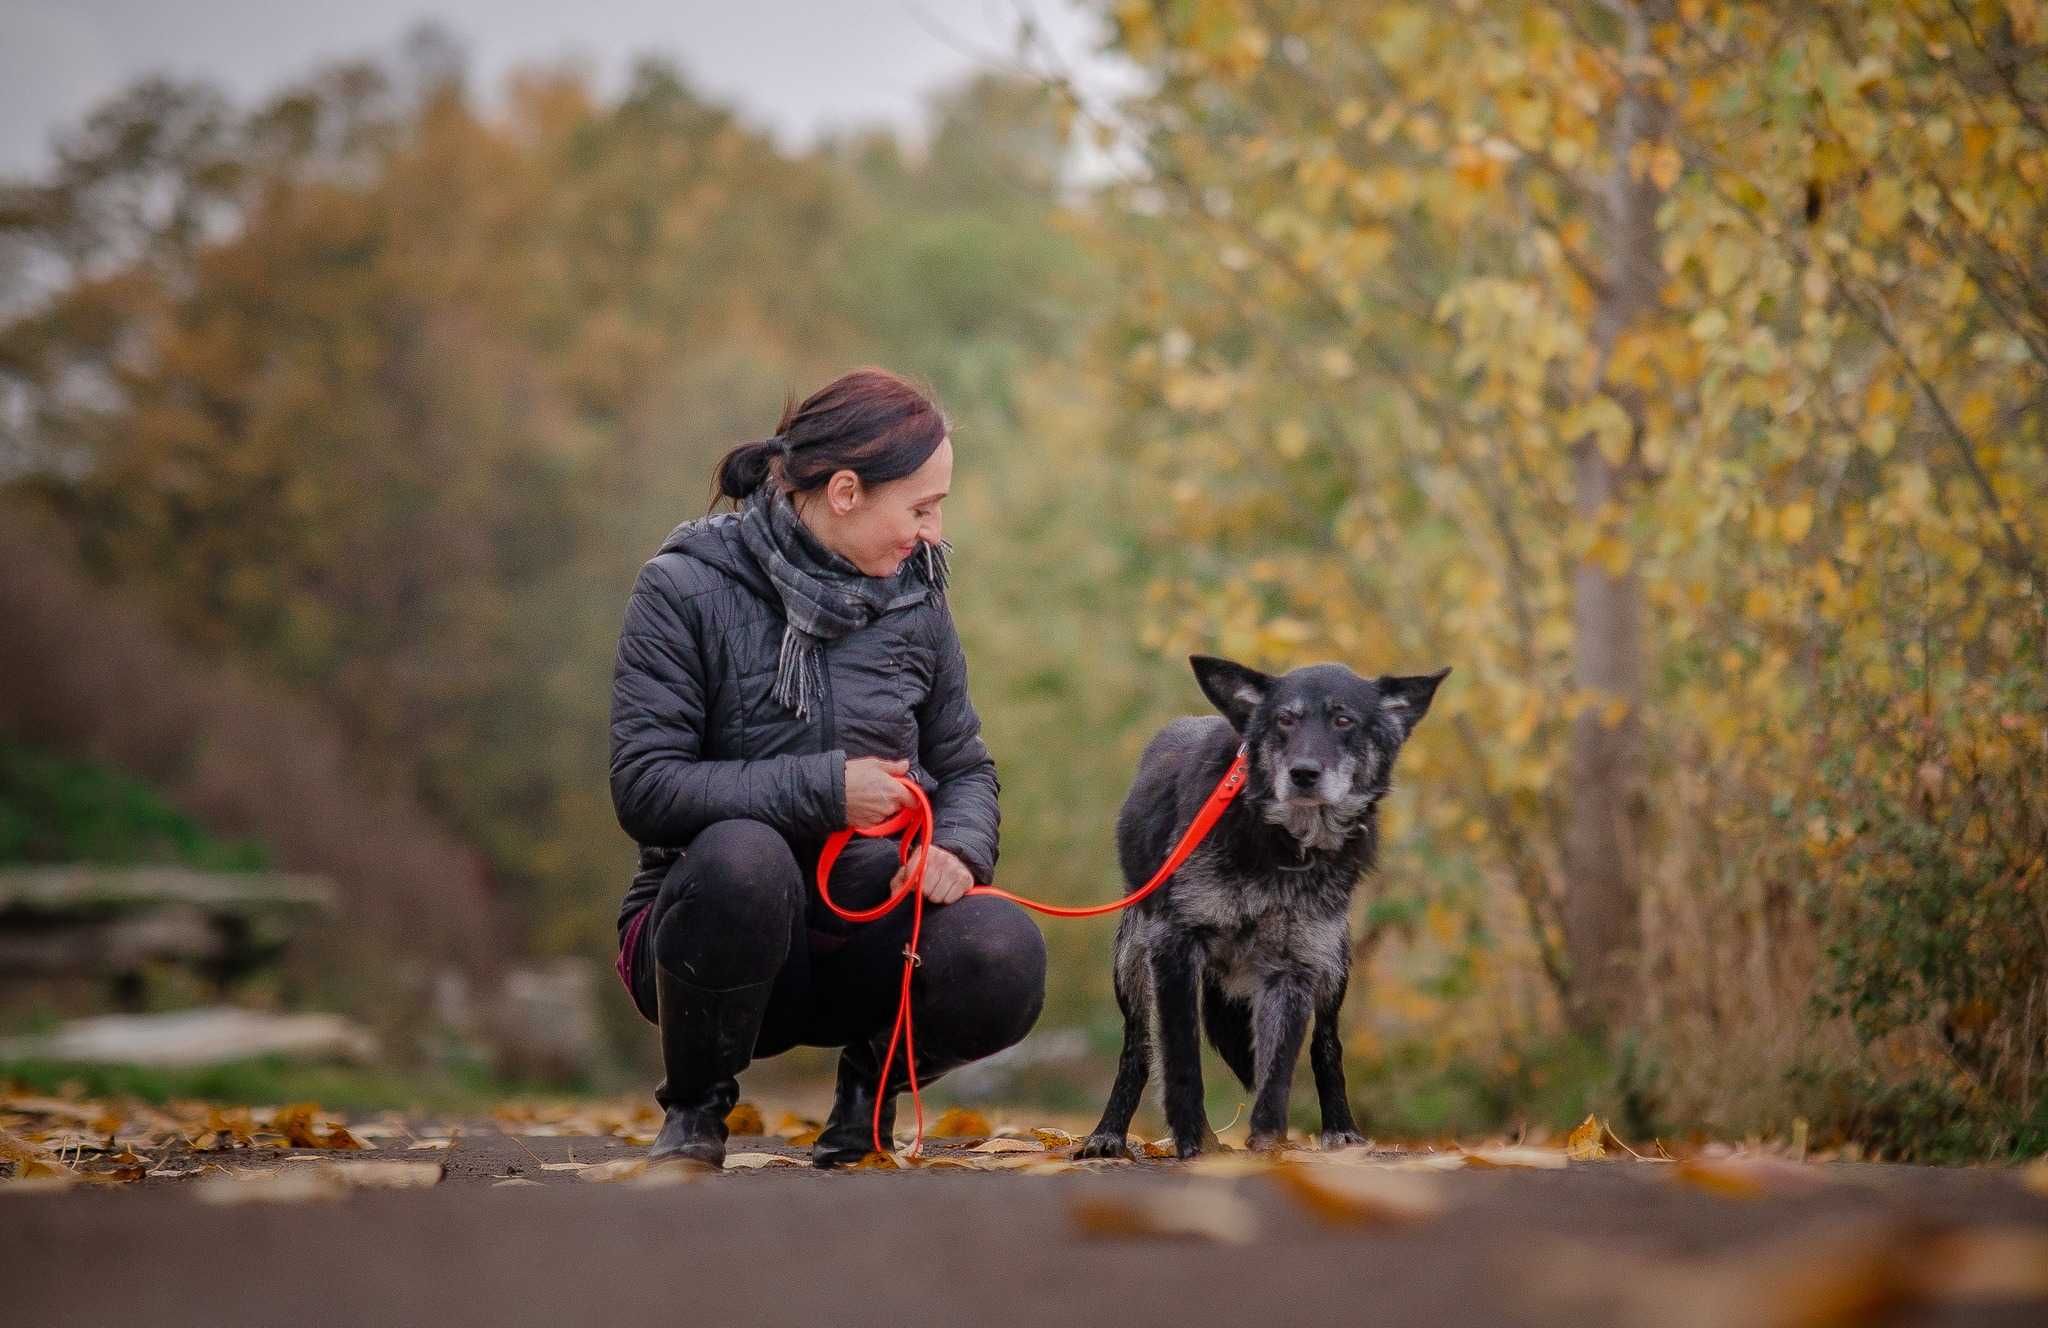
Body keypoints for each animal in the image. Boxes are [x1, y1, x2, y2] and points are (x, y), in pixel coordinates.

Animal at [1081, 659, 1449, 1155]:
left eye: (1343, 720)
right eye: (1285, 720)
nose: (1303, 773)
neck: (1284, 847)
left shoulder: (1294, 964)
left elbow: (1279, 1066)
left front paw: (1268, 1144)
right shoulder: (1175, 947)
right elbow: (1181, 1058)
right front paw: (1193, 1141)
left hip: (1333, 966)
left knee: (1325, 1045)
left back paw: (1341, 1128)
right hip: (1131, 963)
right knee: (1138, 1048)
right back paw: (1111, 1133)